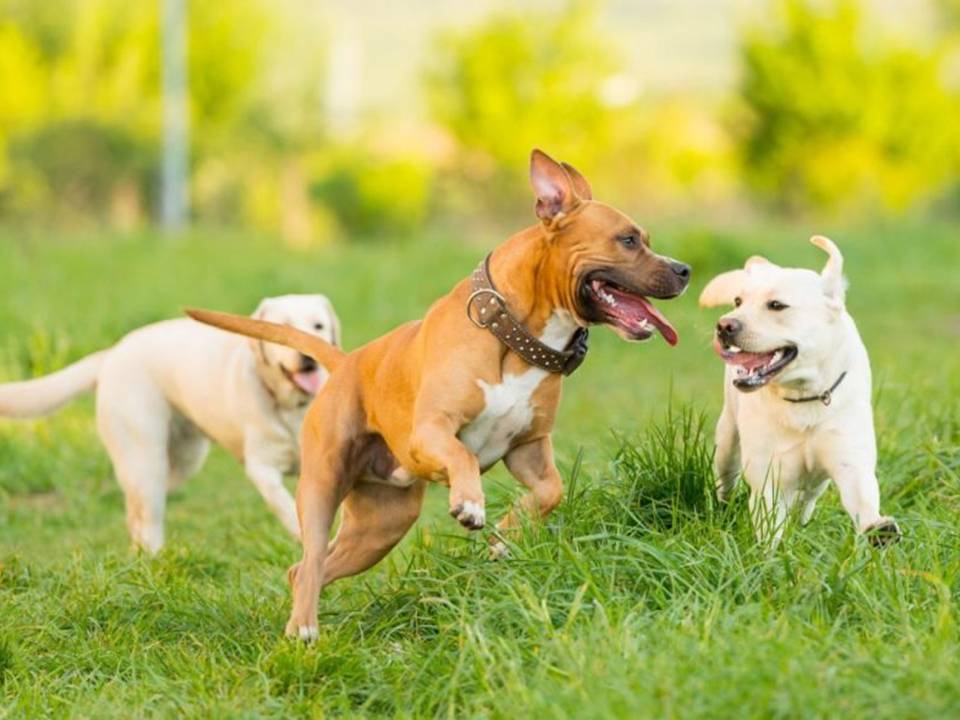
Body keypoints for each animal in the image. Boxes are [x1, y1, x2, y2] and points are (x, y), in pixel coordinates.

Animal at [0, 292, 342, 552]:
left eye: (318, 325)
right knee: (148, 518)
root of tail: (111, 353)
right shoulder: (262, 468)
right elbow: (283, 504)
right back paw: (153, 561)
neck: (292, 406)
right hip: (145, 460)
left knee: (135, 511)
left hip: (181, 462)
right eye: (280, 328)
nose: (307, 355)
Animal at [188, 149, 688, 640]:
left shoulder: (529, 448)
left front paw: (505, 536)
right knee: (310, 556)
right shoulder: (430, 432)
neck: (512, 335)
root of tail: (347, 362)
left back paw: (299, 623)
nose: (683, 269)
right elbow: (462, 455)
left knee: (305, 568)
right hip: (321, 486)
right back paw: (305, 627)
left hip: (380, 528)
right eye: (628, 240)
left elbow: (552, 490)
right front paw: (470, 505)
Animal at [696, 236, 900, 544]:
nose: (724, 325)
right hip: (727, 441)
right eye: (738, 301)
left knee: (808, 496)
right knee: (726, 479)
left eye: (776, 305)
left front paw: (879, 530)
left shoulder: (850, 462)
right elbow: (769, 527)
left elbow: (863, 502)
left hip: (817, 479)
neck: (803, 396)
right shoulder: (768, 477)